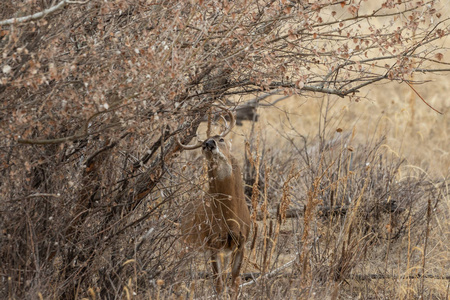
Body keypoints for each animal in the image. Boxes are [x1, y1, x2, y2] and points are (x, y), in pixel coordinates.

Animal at [178, 107, 251, 296]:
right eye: (203, 144)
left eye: (221, 138)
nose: (209, 144)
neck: (231, 217)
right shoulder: (213, 243)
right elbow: (218, 285)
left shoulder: (241, 243)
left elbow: (234, 284)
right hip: (186, 243)